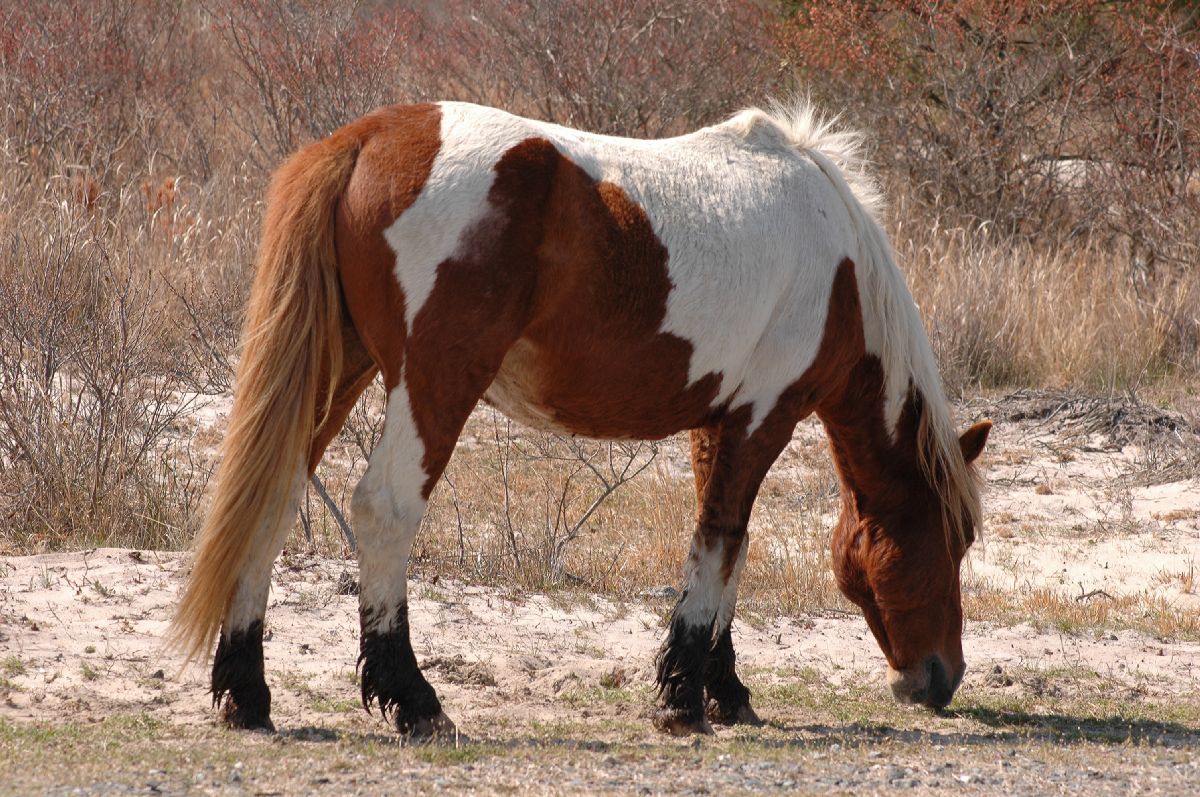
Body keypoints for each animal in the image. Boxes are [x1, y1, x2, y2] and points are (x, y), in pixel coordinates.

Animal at [171, 99, 993, 739]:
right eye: (952, 539)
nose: (941, 679)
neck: (837, 259)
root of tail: (371, 135)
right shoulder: (763, 418)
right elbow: (722, 542)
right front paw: (684, 700)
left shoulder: (717, 423)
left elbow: (725, 550)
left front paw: (723, 691)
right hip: (432, 383)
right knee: (386, 510)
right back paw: (415, 702)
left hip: (338, 372)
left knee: (272, 501)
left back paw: (246, 694)